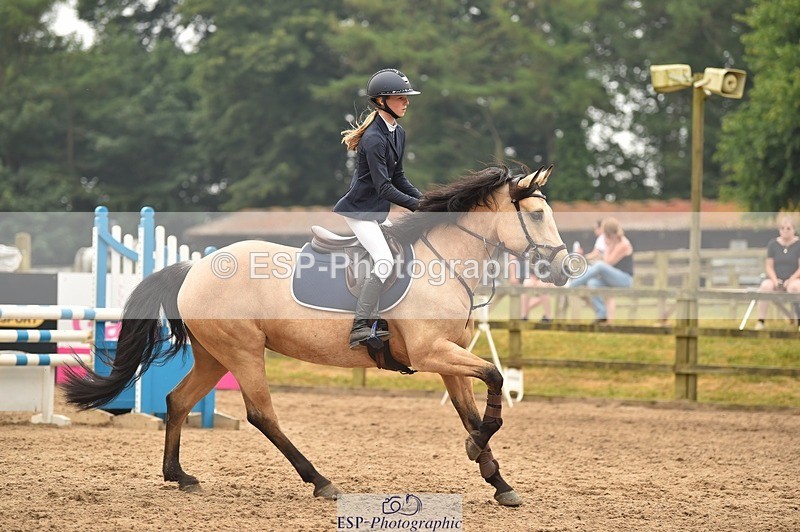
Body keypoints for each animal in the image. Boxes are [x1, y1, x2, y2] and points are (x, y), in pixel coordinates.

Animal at [64, 163, 570, 507]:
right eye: (537, 215)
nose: (565, 269)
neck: (444, 262)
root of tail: (195, 268)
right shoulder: (431, 354)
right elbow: (495, 381)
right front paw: (480, 455)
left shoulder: (449, 358)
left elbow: (471, 411)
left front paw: (497, 480)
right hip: (244, 352)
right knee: (261, 415)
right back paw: (320, 481)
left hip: (214, 356)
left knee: (177, 401)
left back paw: (178, 475)